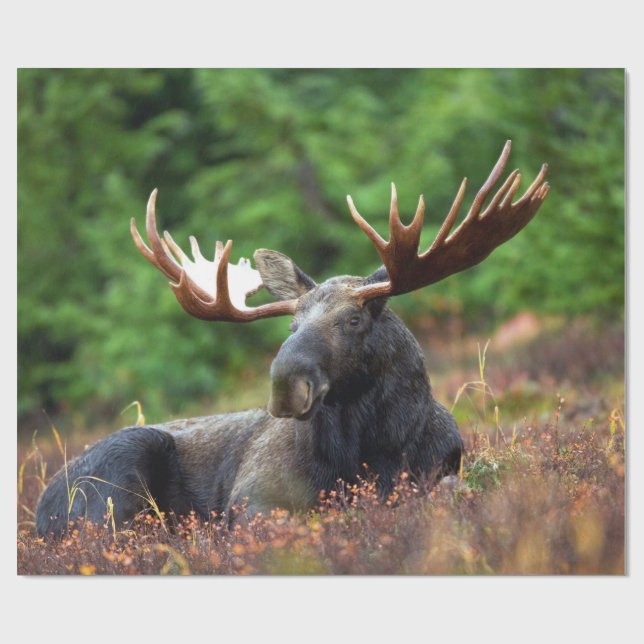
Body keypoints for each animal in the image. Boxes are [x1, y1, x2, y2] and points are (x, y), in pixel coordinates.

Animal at [35, 140, 549, 538]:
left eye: (353, 320)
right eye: (291, 326)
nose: (285, 385)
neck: (373, 451)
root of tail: (39, 510)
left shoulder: (442, 470)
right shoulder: (252, 497)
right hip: (119, 474)